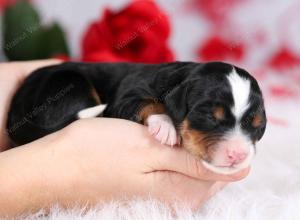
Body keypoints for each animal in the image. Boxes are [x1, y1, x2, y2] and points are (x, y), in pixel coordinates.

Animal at [7, 60, 266, 174]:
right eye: (211, 118)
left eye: (257, 126)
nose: (239, 154)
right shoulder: (125, 97)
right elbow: (149, 103)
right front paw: (165, 126)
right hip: (70, 83)